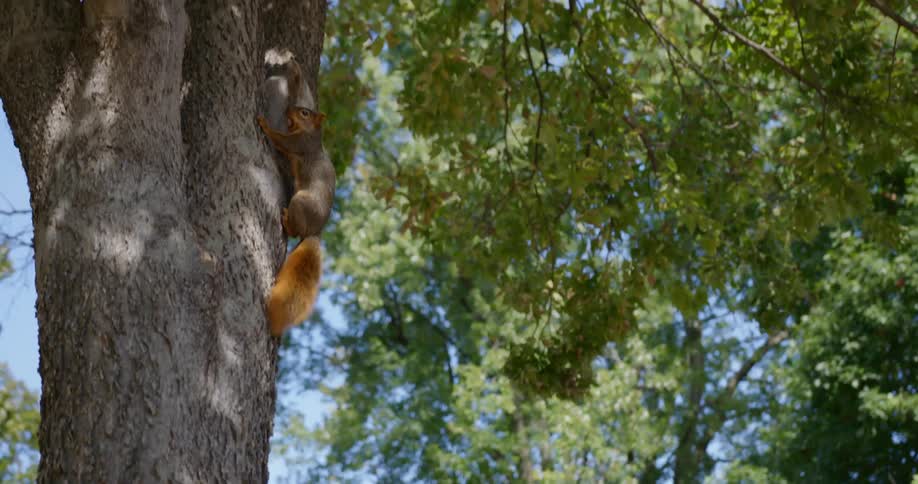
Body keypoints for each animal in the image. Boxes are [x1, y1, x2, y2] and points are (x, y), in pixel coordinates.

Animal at [258, 57, 336, 336]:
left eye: (305, 113)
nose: (290, 110)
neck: (313, 134)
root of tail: (315, 231)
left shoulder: (300, 143)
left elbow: (281, 140)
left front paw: (265, 123)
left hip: (300, 202)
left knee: (293, 230)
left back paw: (285, 219)